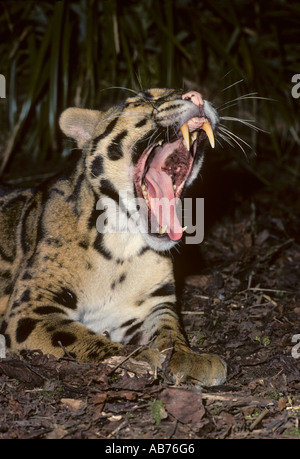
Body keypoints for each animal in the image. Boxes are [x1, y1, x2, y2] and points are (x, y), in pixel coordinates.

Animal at [0, 87, 226, 388]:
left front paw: (187, 356)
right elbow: (77, 335)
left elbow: (170, 328)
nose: (197, 96)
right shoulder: (31, 308)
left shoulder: (152, 304)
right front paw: (136, 359)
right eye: (147, 98)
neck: (121, 247)